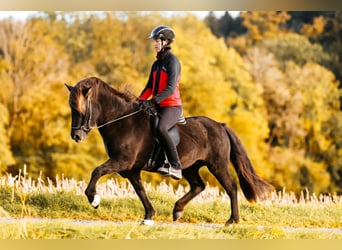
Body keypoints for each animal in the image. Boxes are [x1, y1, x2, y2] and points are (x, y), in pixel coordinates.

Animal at [65, 75, 272, 225]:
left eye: (80, 109)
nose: (76, 136)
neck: (122, 121)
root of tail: (221, 126)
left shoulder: (122, 161)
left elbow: (97, 171)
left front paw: (94, 199)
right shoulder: (131, 169)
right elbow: (140, 190)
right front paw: (149, 216)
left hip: (217, 165)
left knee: (231, 187)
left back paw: (232, 220)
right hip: (190, 167)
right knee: (199, 186)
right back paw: (178, 210)